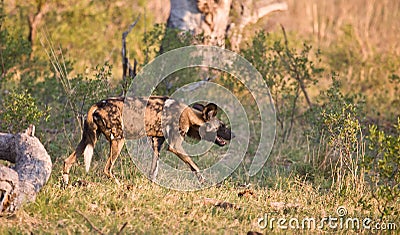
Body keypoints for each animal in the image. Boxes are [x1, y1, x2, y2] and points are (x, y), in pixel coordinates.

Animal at [61, 96, 231, 185]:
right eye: (222, 126)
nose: (233, 135)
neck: (189, 115)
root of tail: (97, 105)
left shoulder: (157, 144)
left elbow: (153, 170)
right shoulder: (175, 146)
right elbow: (194, 166)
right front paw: (205, 183)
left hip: (88, 139)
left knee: (67, 161)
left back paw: (65, 186)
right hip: (118, 141)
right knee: (107, 169)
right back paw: (120, 186)